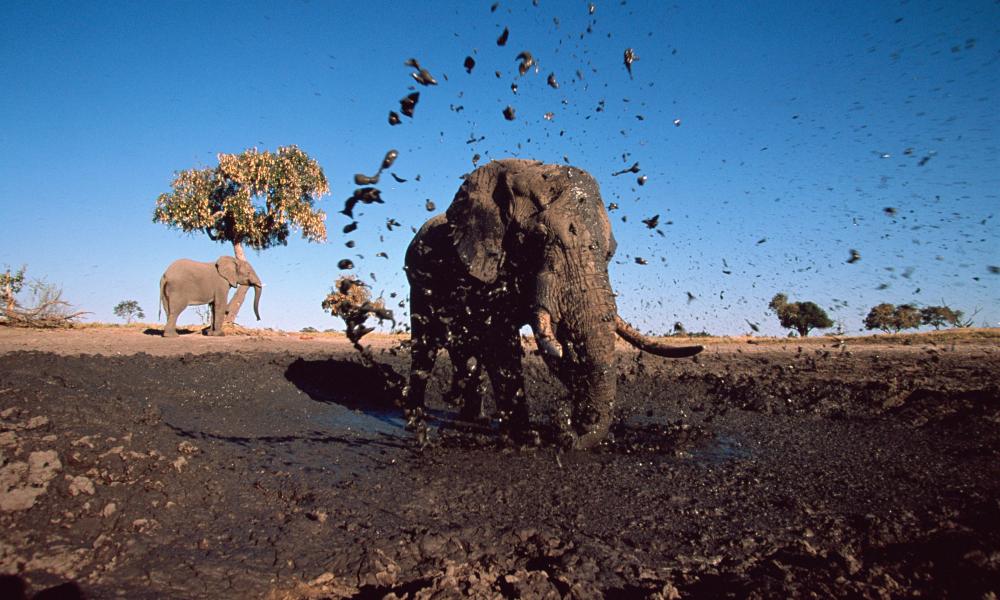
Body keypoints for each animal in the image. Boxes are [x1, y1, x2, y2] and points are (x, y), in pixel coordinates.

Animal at [406, 157, 704, 448]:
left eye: (611, 252)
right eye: (538, 238)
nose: (568, 433)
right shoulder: (485, 269)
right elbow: (501, 343)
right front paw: (527, 439)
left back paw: (472, 420)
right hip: (419, 287)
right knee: (425, 348)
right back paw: (418, 426)